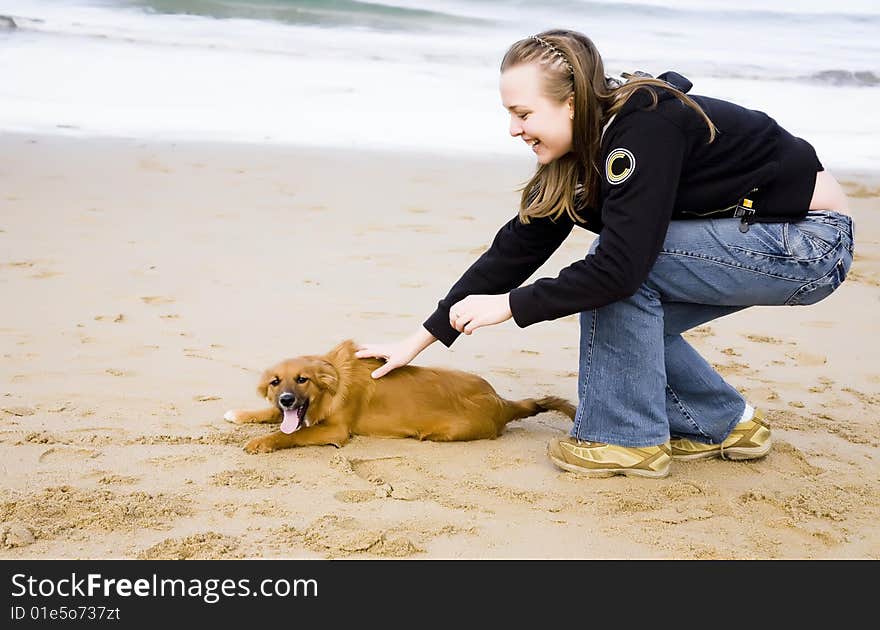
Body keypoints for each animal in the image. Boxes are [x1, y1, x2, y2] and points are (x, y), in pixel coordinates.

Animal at [223, 340, 576, 454]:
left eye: (302, 380)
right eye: (275, 382)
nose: (286, 399)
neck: (333, 384)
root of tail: (502, 402)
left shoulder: (334, 431)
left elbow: (291, 435)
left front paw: (262, 441)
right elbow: (274, 418)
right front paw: (241, 414)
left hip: (446, 433)